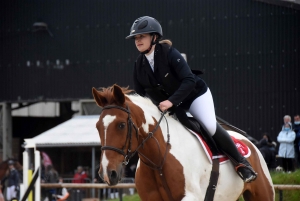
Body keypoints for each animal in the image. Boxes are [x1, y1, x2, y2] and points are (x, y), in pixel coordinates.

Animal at [92, 85, 276, 201]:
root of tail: (250, 143)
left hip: (263, 194)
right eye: (97, 127)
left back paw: (246, 169)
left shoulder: (191, 197)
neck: (158, 160)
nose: (108, 173)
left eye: (121, 125)